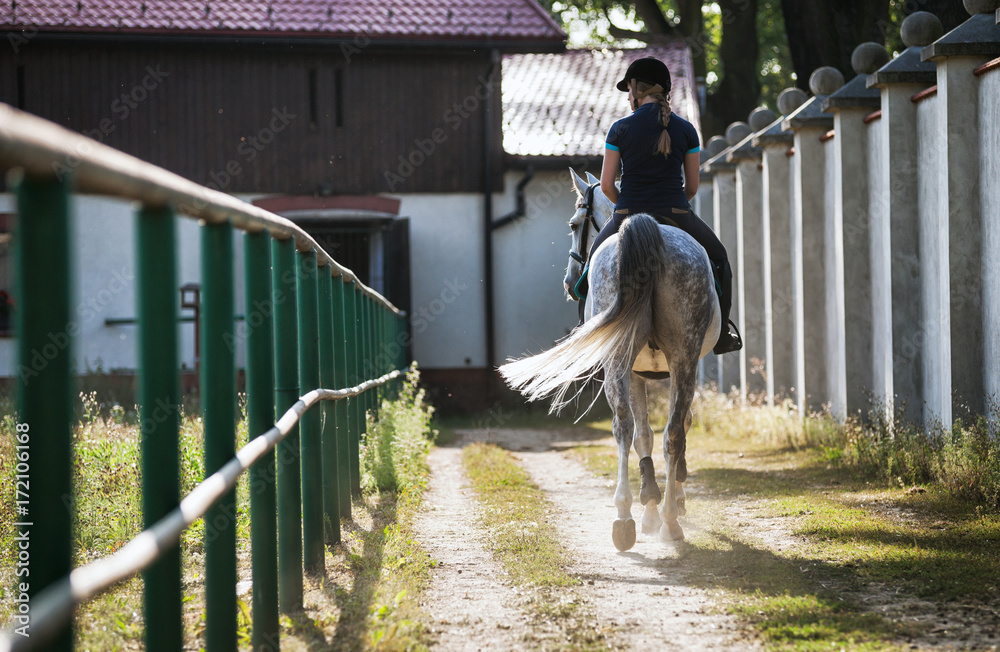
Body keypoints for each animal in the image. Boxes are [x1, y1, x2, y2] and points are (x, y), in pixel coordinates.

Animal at [500, 168, 720, 544]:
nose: (569, 281)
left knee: (628, 427)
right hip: (672, 360)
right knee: (658, 431)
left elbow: (652, 431)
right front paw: (658, 503)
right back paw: (659, 519)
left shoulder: (647, 371)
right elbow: (653, 432)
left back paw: (629, 518)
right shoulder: (649, 372)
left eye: (573, 224)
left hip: (636, 362)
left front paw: (656, 501)